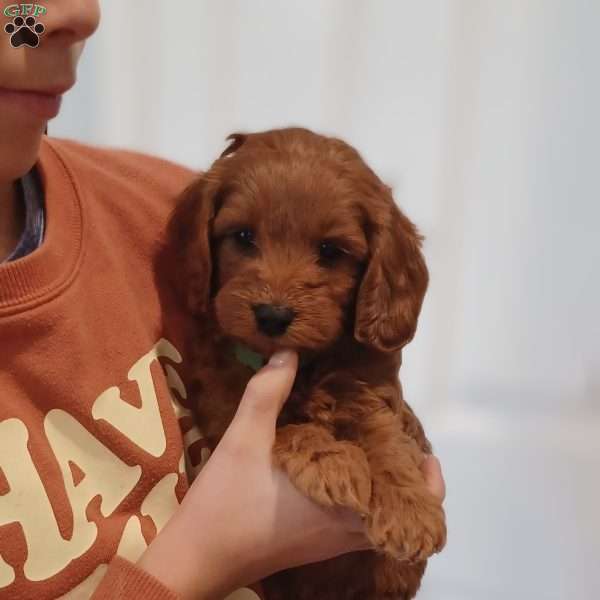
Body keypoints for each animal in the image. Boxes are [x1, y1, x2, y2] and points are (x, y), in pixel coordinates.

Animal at [169, 129, 446, 600]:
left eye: (330, 251)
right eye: (243, 236)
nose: (272, 316)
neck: (308, 361)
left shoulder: (368, 390)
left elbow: (385, 439)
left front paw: (410, 510)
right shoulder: (224, 401)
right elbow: (288, 424)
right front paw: (331, 461)